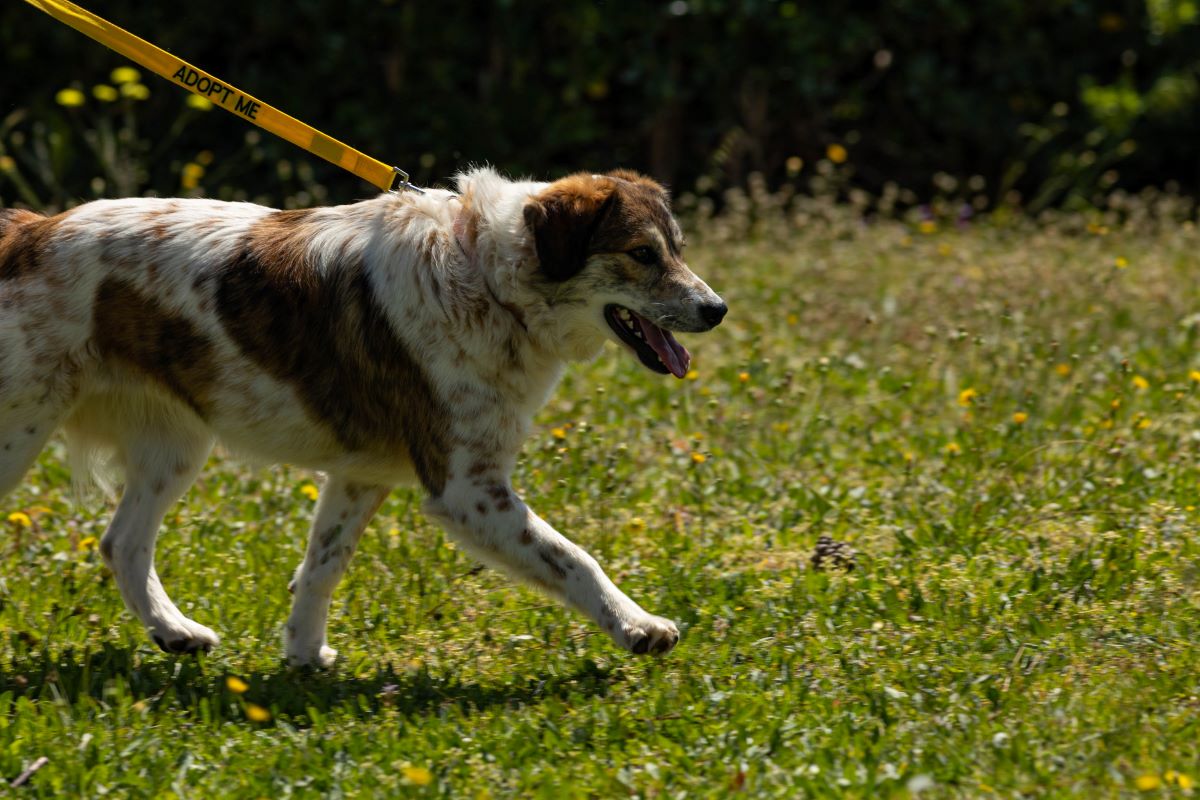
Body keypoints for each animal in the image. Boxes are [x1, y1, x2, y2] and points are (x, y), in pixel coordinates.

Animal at [0, 170, 724, 671]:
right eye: (642, 254)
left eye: (679, 249)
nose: (717, 309)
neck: (487, 278)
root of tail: (31, 231)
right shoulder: (468, 490)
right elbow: (576, 559)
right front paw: (637, 625)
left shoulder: (361, 475)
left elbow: (322, 565)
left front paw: (302, 655)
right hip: (23, 434)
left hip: (174, 445)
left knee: (122, 543)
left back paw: (174, 632)